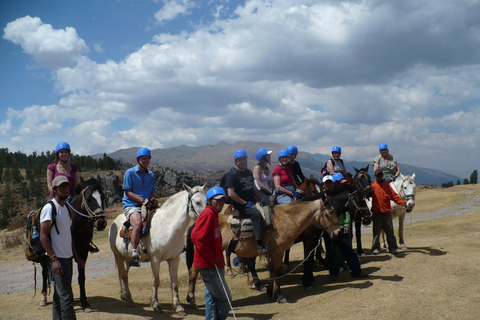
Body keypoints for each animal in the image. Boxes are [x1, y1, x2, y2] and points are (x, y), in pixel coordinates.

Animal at [109, 182, 206, 316]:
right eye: (197, 202)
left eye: (207, 201)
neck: (168, 227)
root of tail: (115, 221)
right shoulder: (155, 260)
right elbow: (156, 281)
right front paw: (155, 304)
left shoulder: (174, 259)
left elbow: (174, 283)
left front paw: (178, 307)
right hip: (117, 254)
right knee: (123, 275)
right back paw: (129, 300)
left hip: (127, 257)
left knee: (124, 273)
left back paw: (124, 295)